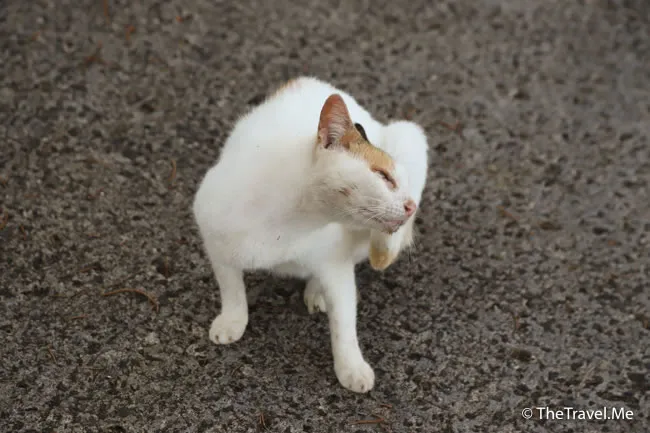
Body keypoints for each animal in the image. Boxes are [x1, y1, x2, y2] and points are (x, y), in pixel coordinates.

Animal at [192, 76, 428, 393]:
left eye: (401, 182)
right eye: (383, 176)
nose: (411, 206)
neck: (292, 221)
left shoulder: (337, 269)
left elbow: (344, 323)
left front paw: (351, 368)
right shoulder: (215, 240)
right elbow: (231, 288)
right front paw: (232, 320)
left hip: (409, 134)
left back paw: (317, 291)